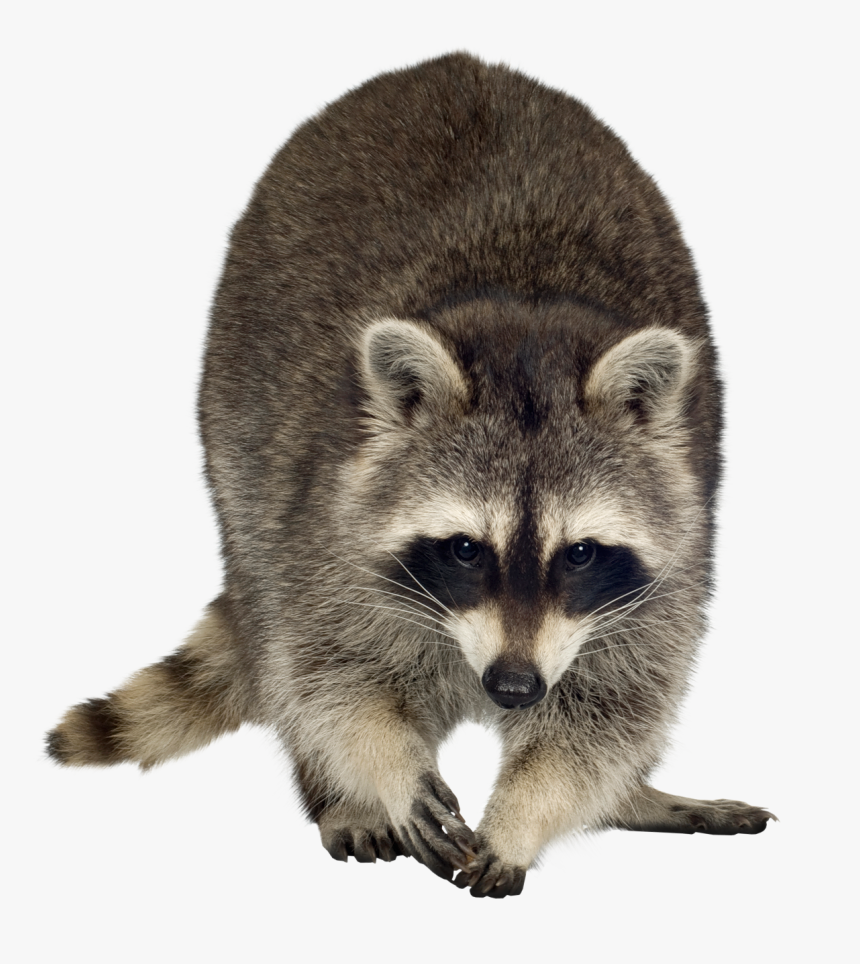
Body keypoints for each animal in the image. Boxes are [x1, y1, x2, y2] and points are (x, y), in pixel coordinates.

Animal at [47, 52, 775, 898]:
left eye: (581, 553)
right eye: (464, 549)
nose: (514, 689)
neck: (524, 316)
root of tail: (452, 66)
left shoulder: (674, 549)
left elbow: (610, 706)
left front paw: (529, 812)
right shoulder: (326, 521)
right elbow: (329, 673)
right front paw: (383, 771)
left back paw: (630, 795)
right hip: (236, 434)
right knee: (271, 616)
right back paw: (337, 794)